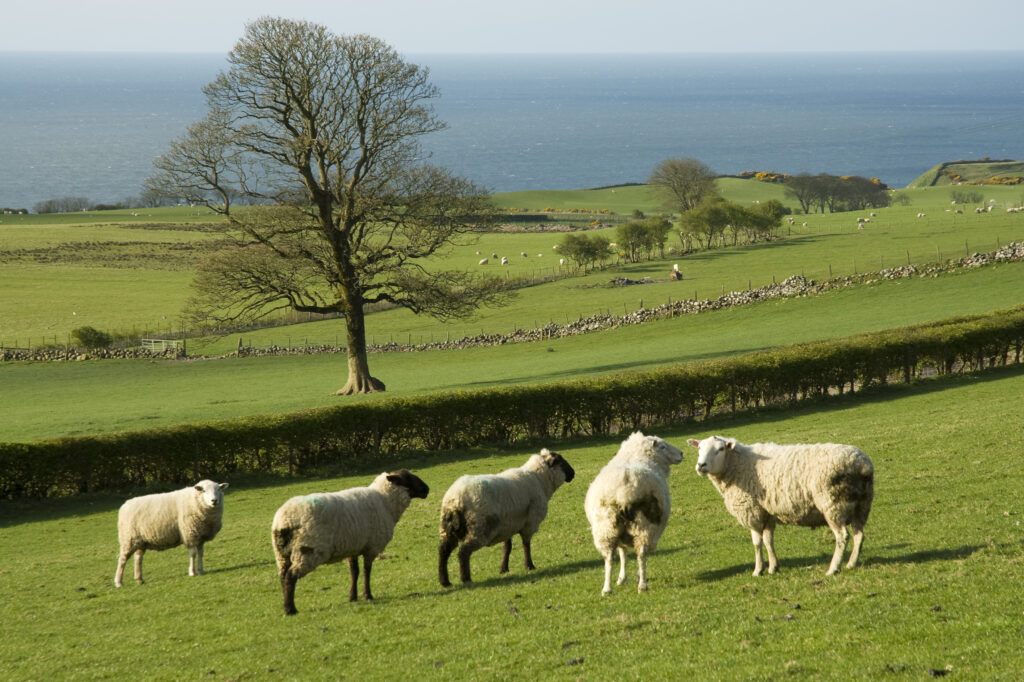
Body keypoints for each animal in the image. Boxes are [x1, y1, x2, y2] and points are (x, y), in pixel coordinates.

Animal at [271, 469, 429, 615]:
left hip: (281, 554)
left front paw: (353, 597)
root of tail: (284, 521)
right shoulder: (371, 547)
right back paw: (290, 609)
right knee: (290, 577)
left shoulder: (352, 546)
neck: (385, 501)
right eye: (407, 479)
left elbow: (355, 571)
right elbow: (367, 571)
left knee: (283, 577)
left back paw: (286, 604)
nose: (427, 489)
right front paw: (368, 595)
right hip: (308, 551)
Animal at [438, 449, 574, 586]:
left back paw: (445, 581)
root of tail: (455, 499)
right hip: (480, 528)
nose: (573, 473)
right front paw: (529, 566)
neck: (539, 479)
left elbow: (507, 547)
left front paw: (504, 569)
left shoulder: (508, 525)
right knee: (463, 552)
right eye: (561, 461)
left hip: (448, 530)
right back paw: (466, 579)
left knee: (443, 551)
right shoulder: (529, 524)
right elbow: (526, 545)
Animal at [584, 431, 684, 595]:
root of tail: (626, 489)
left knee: (609, 558)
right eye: (663, 446)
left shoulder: (620, 533)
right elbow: (630, 554)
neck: (637, 454)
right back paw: (642, 584)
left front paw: (621, 578)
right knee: (642, 554)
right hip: (646, 526)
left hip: (607, 528)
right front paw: (629, 577)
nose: (681, 453)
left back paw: (607, 588)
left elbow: (623, 554)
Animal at [687, 436, 873, 576]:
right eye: (699, 448)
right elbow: (768, 540)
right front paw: (773, 567)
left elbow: (757, 542)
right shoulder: (768, 512)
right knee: (859, 535)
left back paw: (833, 568)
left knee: (842, 536)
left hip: (833, 504)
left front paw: (758, 570)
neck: (736, 464)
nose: (701, 465)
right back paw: (851, 563)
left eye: (720, 449)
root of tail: (861, 465)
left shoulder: (752, 511)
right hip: (862, 505)